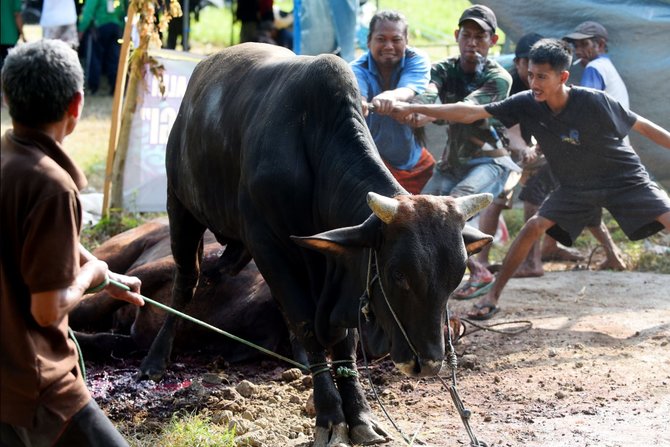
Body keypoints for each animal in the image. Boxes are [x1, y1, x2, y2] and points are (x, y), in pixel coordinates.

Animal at [138, 43, 494, 447]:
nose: (430, 362)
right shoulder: (269, 247)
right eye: (398, 275)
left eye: (455, 279)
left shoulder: (343, 268)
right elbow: (306, 322)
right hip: (180, 209)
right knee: (186, 282)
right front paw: (329, 417)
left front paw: (359, 416)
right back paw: (155, 358)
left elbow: (343, 341)